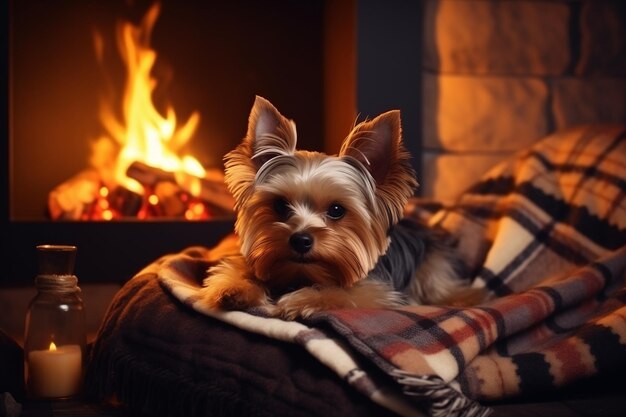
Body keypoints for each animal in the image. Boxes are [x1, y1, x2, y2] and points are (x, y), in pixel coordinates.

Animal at [197, 96, 480, 316]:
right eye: (280, 205)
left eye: (336, 210)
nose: (300, 240)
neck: (302, 274)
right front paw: (233, 287)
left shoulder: (378, 291)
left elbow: (345, 293)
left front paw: (302, 300)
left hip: (433, 268)